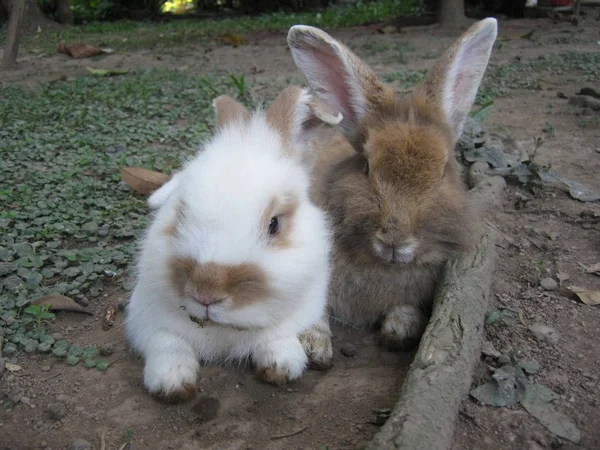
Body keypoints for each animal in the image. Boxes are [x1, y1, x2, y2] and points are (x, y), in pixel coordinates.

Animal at [125, 87, 342, 400]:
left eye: (274, 224)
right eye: (181, 211)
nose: (205, 294)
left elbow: (278, 339)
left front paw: (282, 366)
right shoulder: (147, 318)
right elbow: (167, 343)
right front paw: (172, 383)